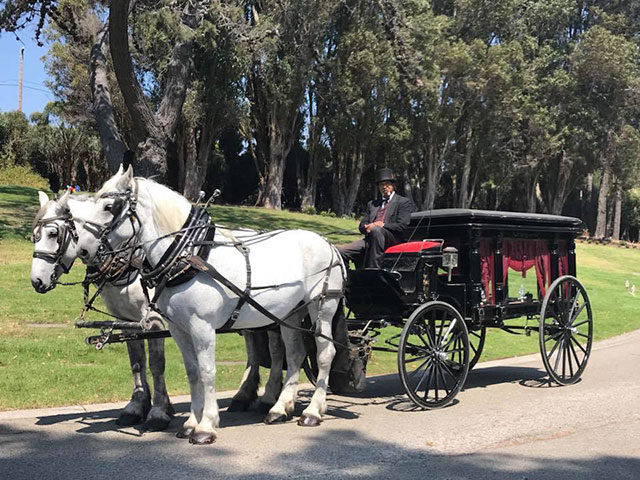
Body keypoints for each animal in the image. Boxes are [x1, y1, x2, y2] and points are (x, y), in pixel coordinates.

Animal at [76, 167, 344, 444]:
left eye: (109, 207)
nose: (83, 250)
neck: (188, 256)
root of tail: (328, 243)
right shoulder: (178, 328)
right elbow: (193, 372)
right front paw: (191, 423)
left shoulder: (202, 327)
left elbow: (207, 372)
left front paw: (206, 425)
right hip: (291, 313)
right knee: (295, 354)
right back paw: (280, 408)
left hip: (323, 306)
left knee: (325, 354)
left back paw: (313, 411)